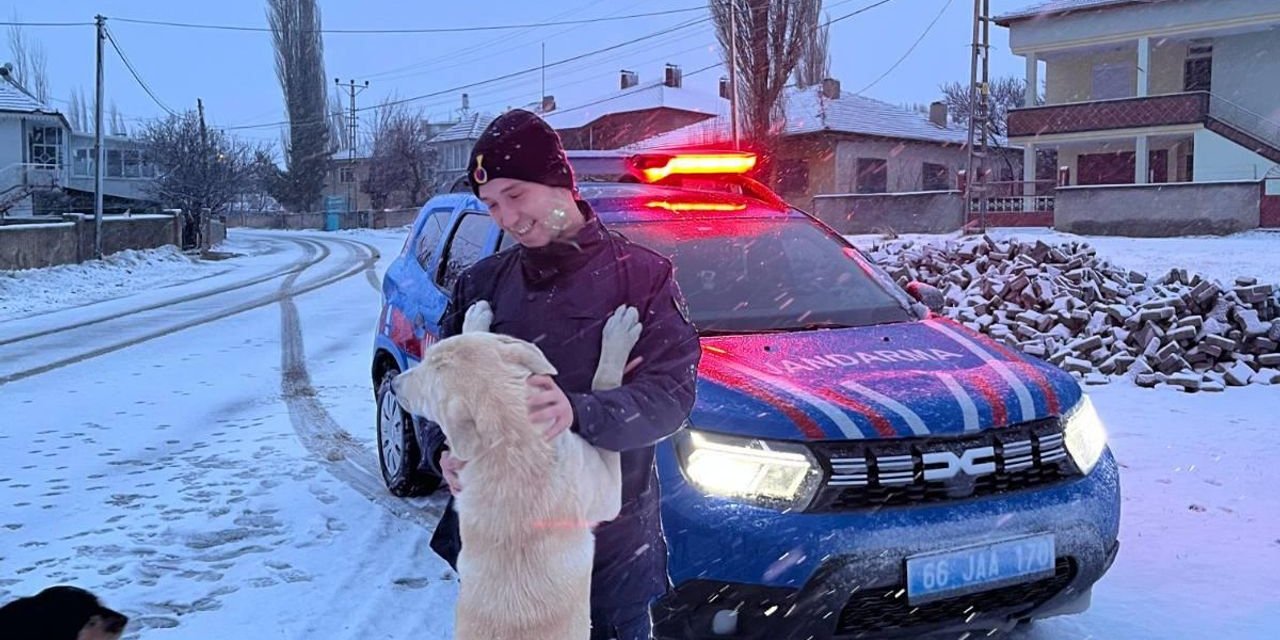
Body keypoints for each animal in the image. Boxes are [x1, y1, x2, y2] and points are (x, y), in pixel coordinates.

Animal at [394, 302, 640, 637]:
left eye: (429, 362)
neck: (509, 437)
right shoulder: (605, 490)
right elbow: (604, 384)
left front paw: (475, 319)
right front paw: (619, 334)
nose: (394, 384)